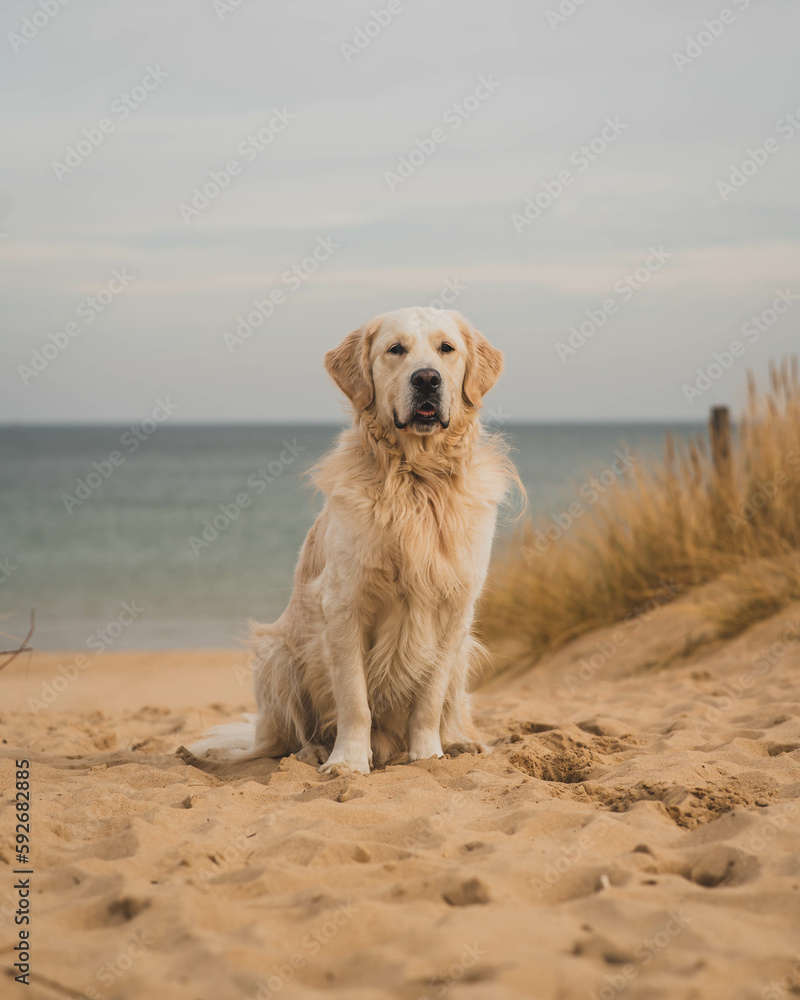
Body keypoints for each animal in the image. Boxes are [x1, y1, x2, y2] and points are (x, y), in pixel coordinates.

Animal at [193, 306, 520, 772]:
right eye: (395, 349)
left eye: (447, 349)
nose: (427, 379)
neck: (415, 479)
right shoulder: (345, 604)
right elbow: (353, 698)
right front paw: (347, 761)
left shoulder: (457, 608)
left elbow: (429, 698)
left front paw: (428, 755)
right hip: (277, 654)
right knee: (284, 738)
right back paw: (312, 751)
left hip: (463, 654)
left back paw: (459, 742)